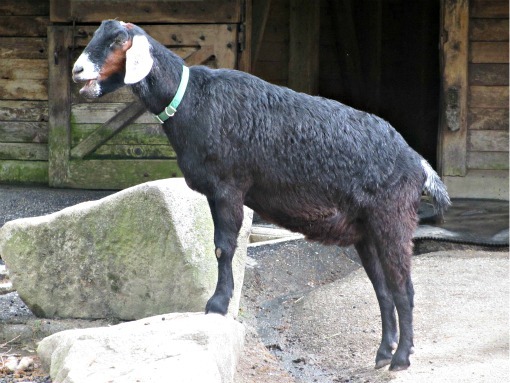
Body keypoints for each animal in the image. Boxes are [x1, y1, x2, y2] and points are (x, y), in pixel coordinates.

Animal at [72, 21, 450, 372]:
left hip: (393, 218)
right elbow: (220, 245)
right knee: (384, 290)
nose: (77, 70)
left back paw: (401, 358)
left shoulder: (229, 186)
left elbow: (224, 246)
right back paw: (383, 353)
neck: (193, 99)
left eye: (117, 40)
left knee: (404, 289)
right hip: (366, 231)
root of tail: (418, 162)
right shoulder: (215, 193)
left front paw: (217, 305)